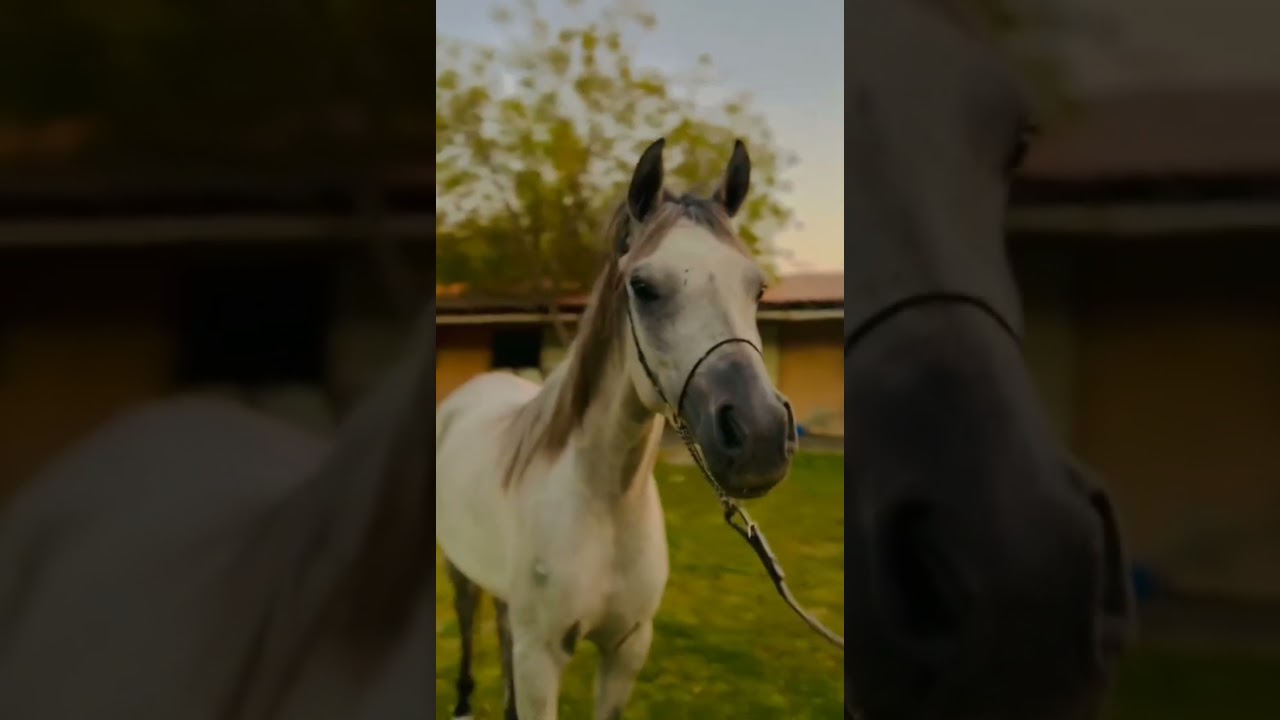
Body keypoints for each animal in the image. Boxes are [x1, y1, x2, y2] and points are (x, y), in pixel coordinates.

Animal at [434, 137, 799, 720]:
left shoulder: (627, 648)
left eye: (758, 288)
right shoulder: (542, 659)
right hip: (459, 567)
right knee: (470, 623)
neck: (604, 501)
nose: (760, 435)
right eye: (643, 287)